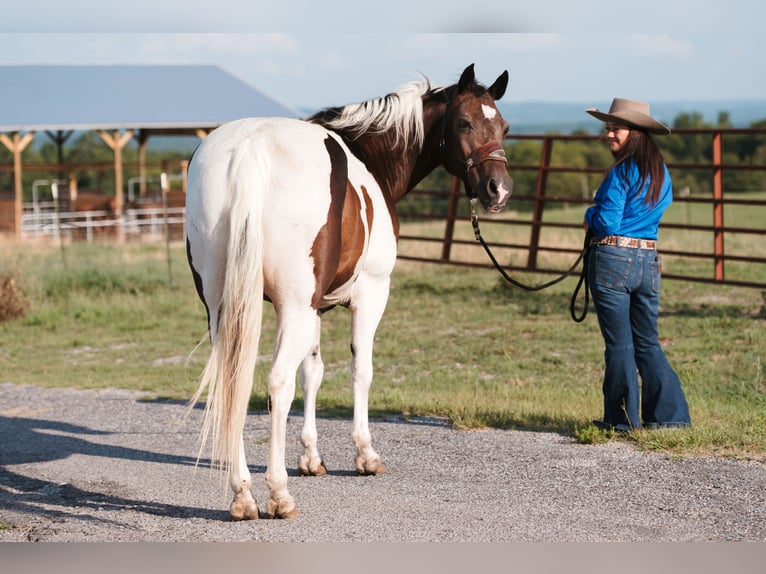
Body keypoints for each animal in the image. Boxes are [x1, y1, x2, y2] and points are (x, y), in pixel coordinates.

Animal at [184, 64, 516, 520]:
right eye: (464, 122)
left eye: (503, 126)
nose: (498, 189)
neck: (370, 157)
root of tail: (250, 151)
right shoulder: (370, 295)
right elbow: (361, 370)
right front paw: (365, 454)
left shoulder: (316, 308)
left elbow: (313, 372)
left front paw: (310, 457)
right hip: (291, 307)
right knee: (276, 383)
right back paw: (278, 493)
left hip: (224, 308)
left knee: (234, 380)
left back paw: (242, 495)